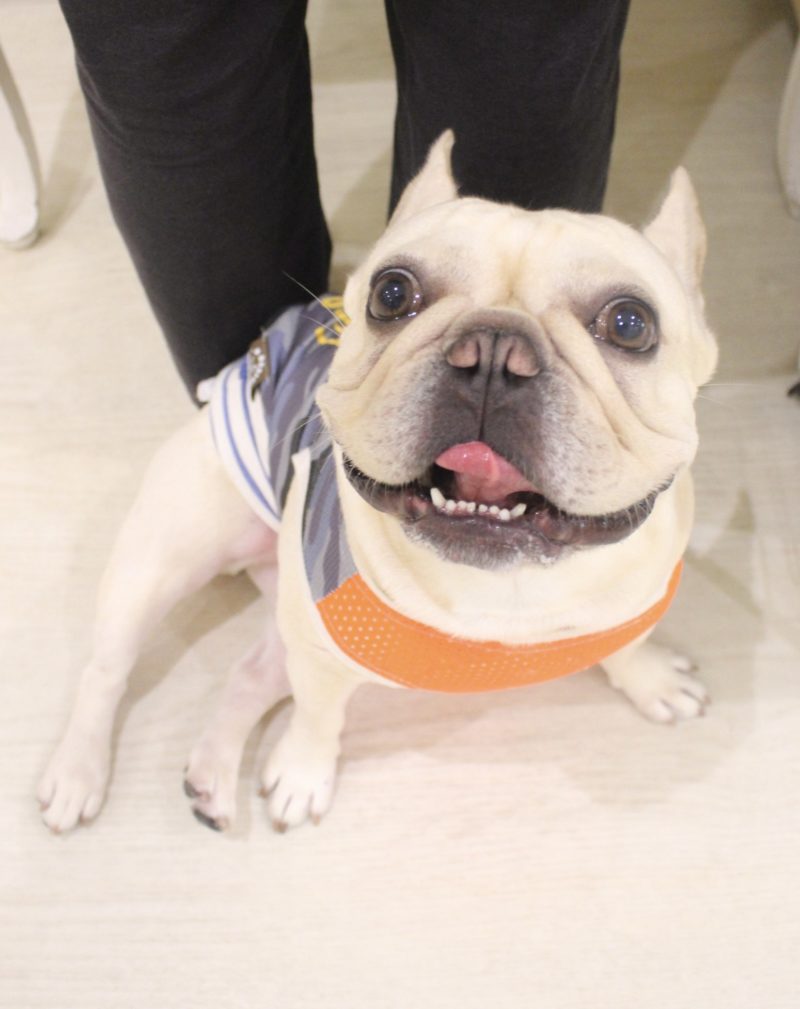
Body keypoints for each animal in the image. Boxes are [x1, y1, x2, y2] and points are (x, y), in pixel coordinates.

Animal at [38, 132, 717, 834]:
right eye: (391, 293)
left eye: (631, 324)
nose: (494, 351)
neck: (506, 589)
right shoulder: (317, 657)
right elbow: (318, 717)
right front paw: (303, 773)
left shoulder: (634, 609)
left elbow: (629, 646)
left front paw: (651, 679)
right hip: (159, 563)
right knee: (106, 670)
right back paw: (77, 773)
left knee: (250, 675)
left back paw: (212, 778)